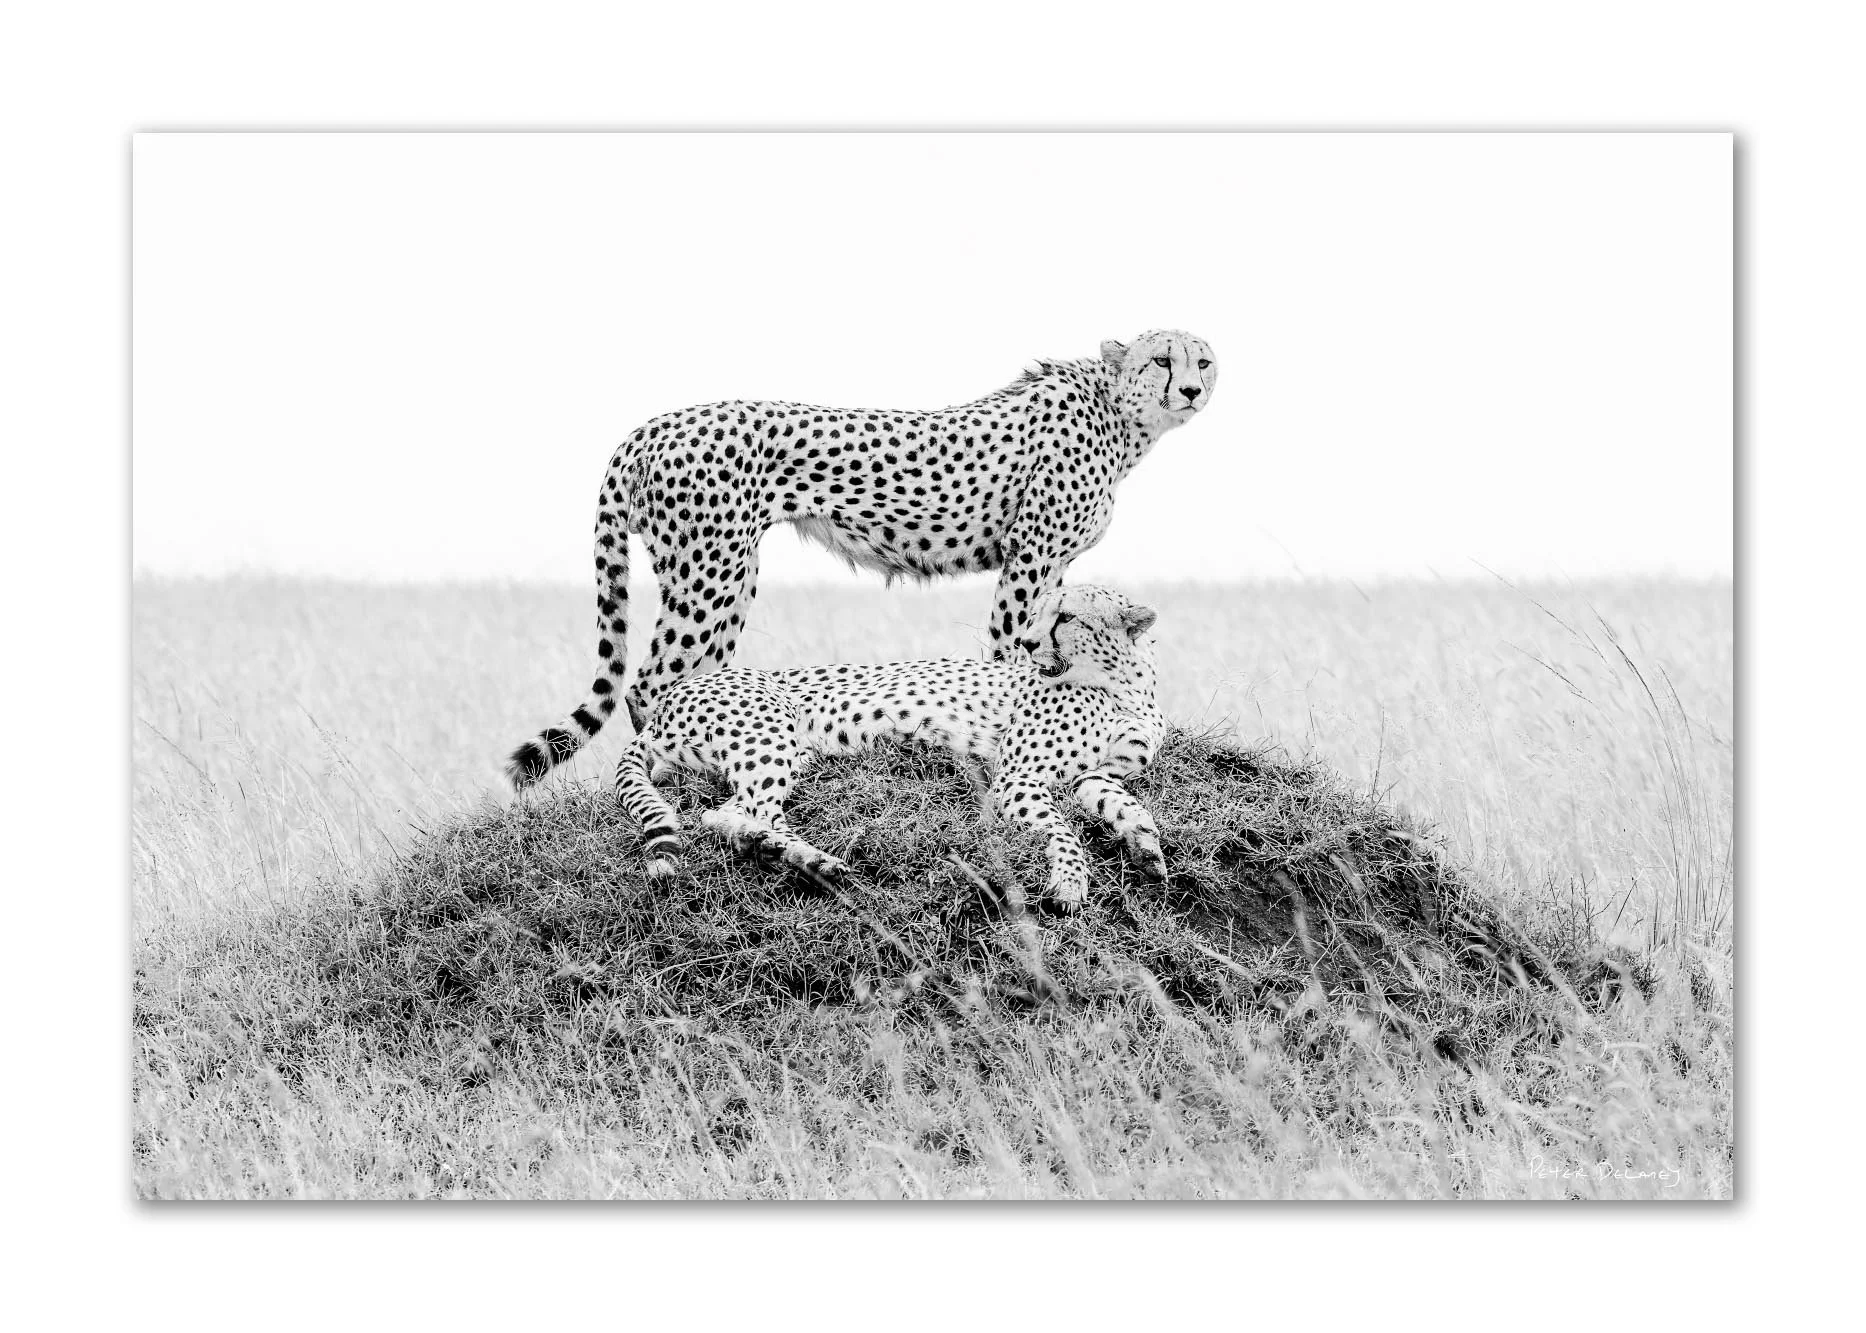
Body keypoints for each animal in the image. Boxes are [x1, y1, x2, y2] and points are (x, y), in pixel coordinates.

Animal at [505, 330, 1214, 788]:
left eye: (1203, 360)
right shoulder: (1030, 558)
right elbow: (1013, 648)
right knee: (651, 680)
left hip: (729, 573)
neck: (1118, 413)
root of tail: (651, 424)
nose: (1190, 389)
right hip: (711, 568)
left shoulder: (1053, 565)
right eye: (1161, 359)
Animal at [612, 585, 1168, 910]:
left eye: (1067, 616)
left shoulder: (1097, 775)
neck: (1123, 684)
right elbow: (1064, 833)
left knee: (730, 812)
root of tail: (667, 699)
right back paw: (809, 858)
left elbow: (1129, 806)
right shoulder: (1017, 778)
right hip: (771, 733)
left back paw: (775, 848)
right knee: (739, 811)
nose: (1027, 645)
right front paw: (1070, 883)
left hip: (795, 753)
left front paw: (1146, 848)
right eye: (1038, 615)